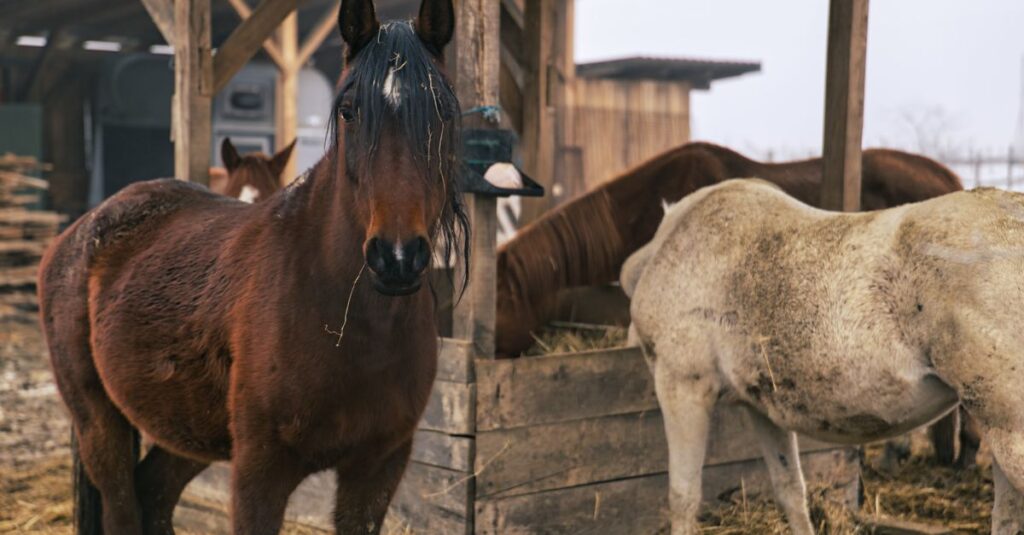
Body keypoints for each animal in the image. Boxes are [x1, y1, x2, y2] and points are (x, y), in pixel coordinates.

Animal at [36, 1, 466, 533]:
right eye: (349, 111)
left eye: (443, 111)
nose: (398, 257)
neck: (343, 320)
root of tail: (80, 231)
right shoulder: (259, 473)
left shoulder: (377, 470)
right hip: (98, 422)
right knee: (122, 505)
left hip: (187, 427)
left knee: (153, 492)